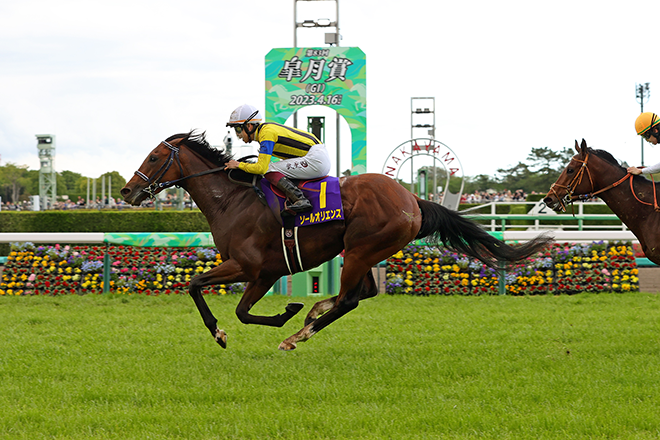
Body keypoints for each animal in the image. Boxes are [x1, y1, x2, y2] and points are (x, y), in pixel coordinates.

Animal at [120, 131, 552, 351]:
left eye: (155, 157)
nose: (127, 191)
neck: (234, 200)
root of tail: (412, 198)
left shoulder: (251, 267)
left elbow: (204, 290)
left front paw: (238, 328)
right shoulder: (262, 272)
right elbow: (232, 306)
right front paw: (286, 311)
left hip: (363, 248)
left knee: (349, 299)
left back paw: (298, 333)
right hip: (364, 252)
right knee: (362, 294)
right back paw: (312, 314)